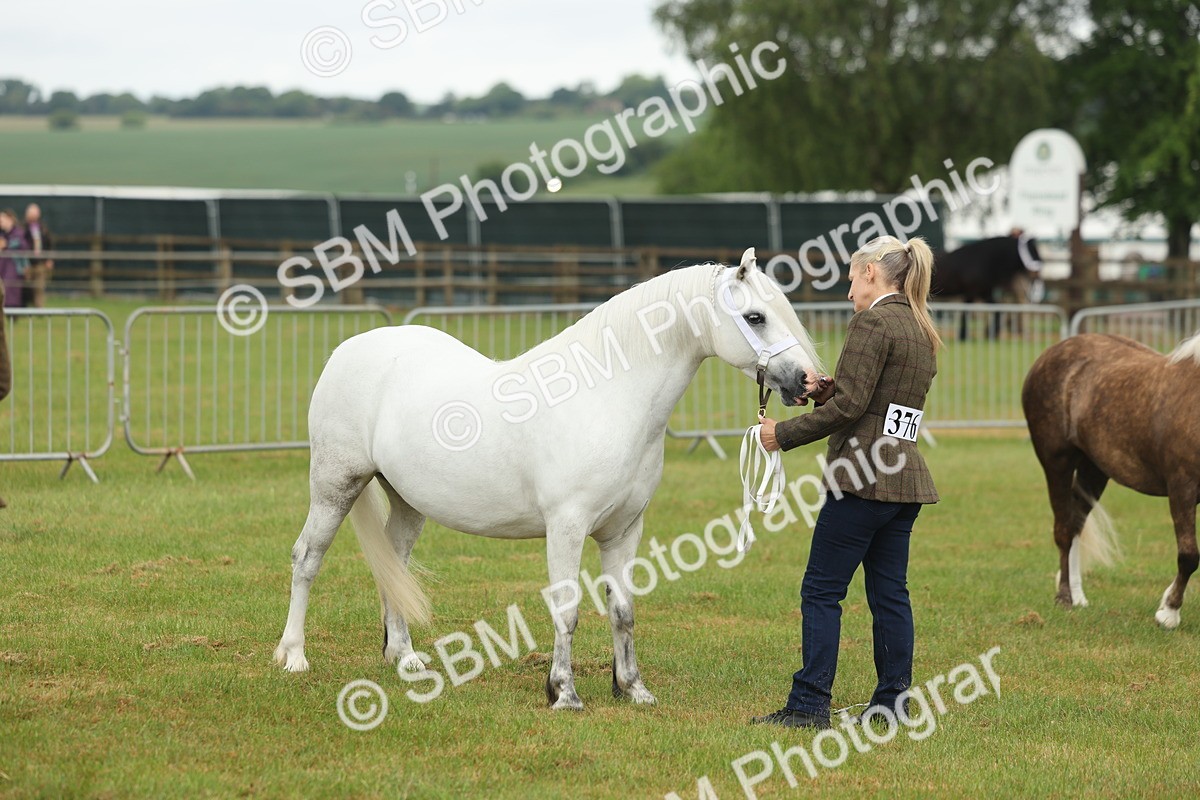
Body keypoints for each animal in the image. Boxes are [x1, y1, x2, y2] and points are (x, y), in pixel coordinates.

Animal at [273, 248, 822, 709]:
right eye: (755, 317)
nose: (809, 382)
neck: (608, 398)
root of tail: (349, 349)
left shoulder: (625, 530)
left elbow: (623, 610)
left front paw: (633, 690)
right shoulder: (567, 527)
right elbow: (567, 609)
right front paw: (563, 693)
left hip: (407, 501)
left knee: (394, 565)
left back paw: (404, 657)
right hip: (335, 484)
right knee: (307, 558)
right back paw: (294, 656)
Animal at [1022, 332, 1200, 628]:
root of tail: (1051, 353)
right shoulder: (1181, 489)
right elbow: (1188, 556)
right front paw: (1168, 612)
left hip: (1094, 468)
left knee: (1076, 524)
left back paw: (1078, 595)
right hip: (1056, 462)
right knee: (1064, 530)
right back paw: (1065, 597)